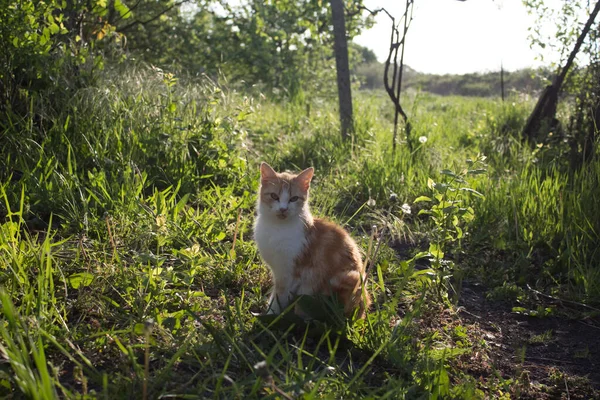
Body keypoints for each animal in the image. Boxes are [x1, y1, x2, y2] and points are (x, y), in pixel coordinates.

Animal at [253, 162, 370, 318]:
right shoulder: (277, 270)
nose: (283, 209)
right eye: (274, 196)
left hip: (350, 278)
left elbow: (279, 296)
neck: (277, 228)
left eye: (294, 198)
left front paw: (271, 315)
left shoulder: (290, 272)